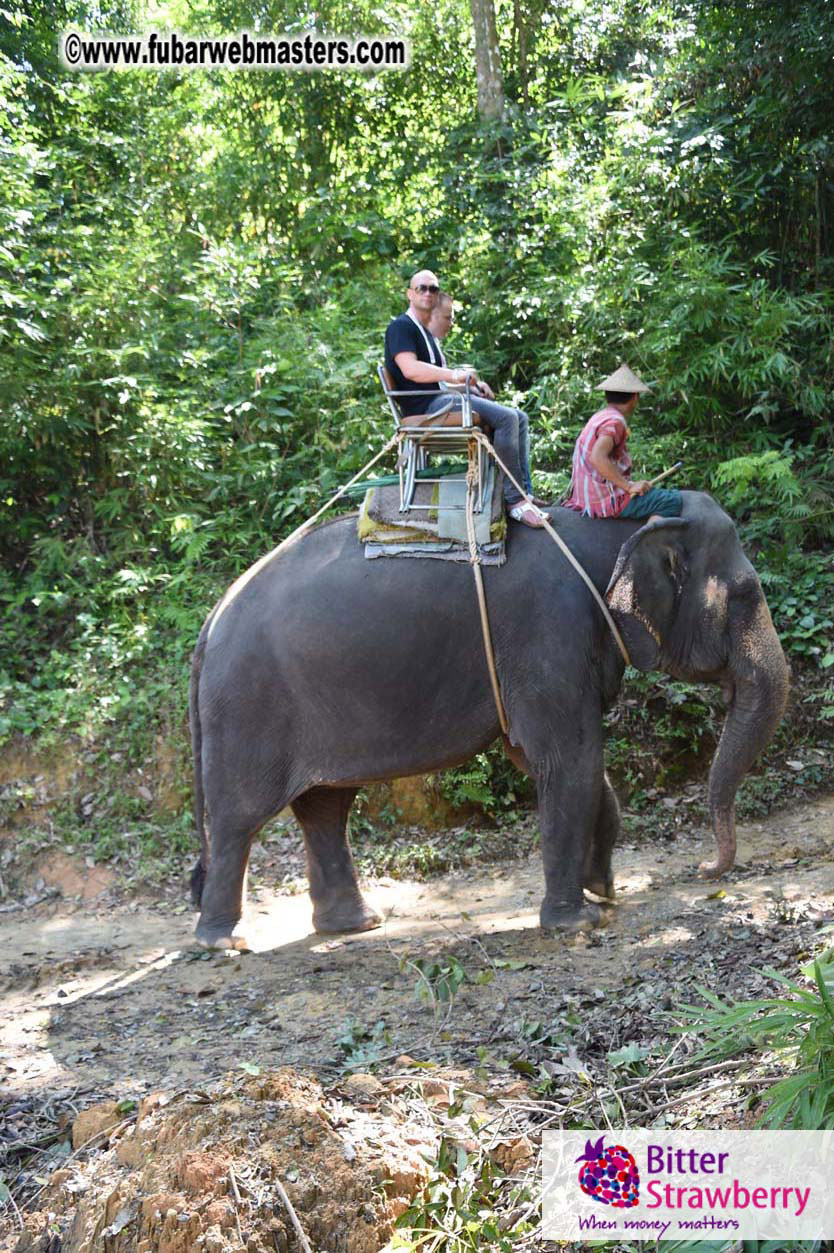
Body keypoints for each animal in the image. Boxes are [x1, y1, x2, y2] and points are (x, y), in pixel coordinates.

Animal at [188, 490, 789, 951]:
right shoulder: (549, 633)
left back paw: (355, 925)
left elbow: (551, 761)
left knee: (325, 807)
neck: (612, 531)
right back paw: (224, 942)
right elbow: (570, 760)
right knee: (241, 815)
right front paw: (579, 921)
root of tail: (213, 618)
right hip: (248, 707)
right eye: (745, 594)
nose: (706, 873)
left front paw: (603, 891)